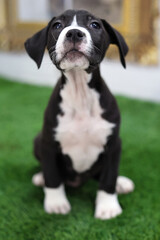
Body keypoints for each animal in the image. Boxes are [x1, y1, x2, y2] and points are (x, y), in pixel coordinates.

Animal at [25, 9, 134, 219]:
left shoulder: (113, 144)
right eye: (57, 25)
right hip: (37, 141)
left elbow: (108, 177)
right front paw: (56, 203)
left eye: (95, 25)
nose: (74, 33)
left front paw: (108, 206)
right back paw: (40, 177)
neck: (80, 92)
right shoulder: (48, 143)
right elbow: (52, 175)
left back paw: (121, 183)